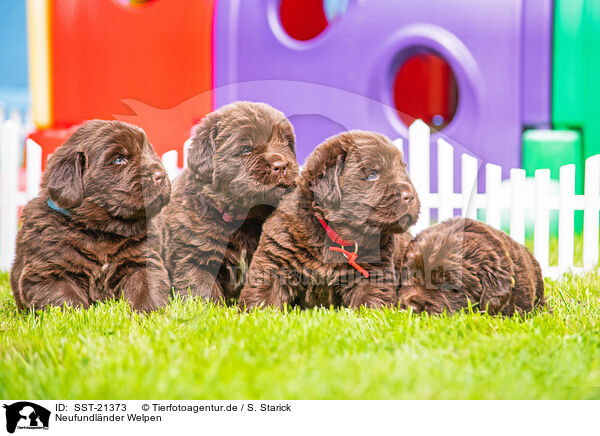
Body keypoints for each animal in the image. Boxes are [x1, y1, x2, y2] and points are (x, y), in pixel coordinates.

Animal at [10, 117, 172, 312]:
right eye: (119, 159)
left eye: (149, 151)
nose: (160, 175)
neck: (101, 230)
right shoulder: (48, 269)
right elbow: (66, 299)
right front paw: (79, 316)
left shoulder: (141, 260)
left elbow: (146, 287)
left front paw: (148, 312)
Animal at [163, 100, 298, 302]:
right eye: (246, 149)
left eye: (286, 144)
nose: (281, 166)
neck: (241, 219)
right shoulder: (195, 254)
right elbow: (202, 290)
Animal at [237, 130, 420, 310]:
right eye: (372, 175)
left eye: (402, 171)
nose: (410, 196)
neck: (334, 235)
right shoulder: (277, 256)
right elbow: (264, 293)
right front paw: (256, 312)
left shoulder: (374, 272)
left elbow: (369, 303)